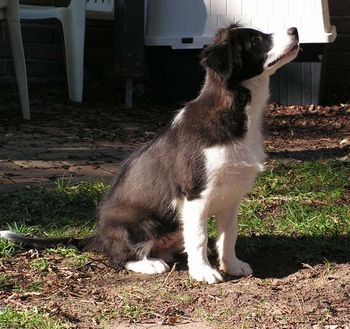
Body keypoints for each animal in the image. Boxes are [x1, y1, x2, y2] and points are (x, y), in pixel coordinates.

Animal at [1, 25, 300, 282]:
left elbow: (228, 235)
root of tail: (97, 237)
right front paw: (204, 272)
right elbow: (200, 236)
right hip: (141, 224)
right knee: (119, 257)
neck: (237, 112)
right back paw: (150, 264)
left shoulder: (231, 194)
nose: (295, 30)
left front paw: (232, 265)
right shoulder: (195, 194)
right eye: (256, 40)